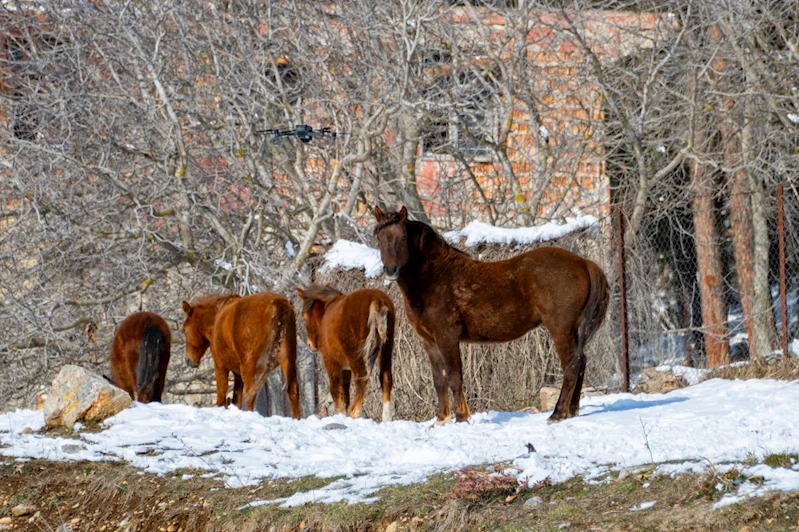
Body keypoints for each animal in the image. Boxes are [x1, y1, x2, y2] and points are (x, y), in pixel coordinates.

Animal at [296, 284, 396, 422]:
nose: (310, 344)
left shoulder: (331, 363)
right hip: (386, 350)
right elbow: (345, 394)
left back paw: (354, 414)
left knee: (361, 379)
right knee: (386, 379)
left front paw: (339, 414)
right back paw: (386, 418)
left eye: (304, 315)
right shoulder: (345, 369)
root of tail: (377, 299)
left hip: (356, 357)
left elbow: (336, 391)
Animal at [372, 206, 608, 426]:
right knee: (581, 360)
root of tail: (583, 262)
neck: (435, 278)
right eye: (379, 237)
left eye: (403, 237)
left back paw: (558, 413)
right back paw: (572, 410)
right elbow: (439, 380)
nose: (390, 269)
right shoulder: (429, 341)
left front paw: (461, 417)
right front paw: (441, 419)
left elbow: (455, 376)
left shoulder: (447, 338)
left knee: (572, 365)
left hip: (560, 328)